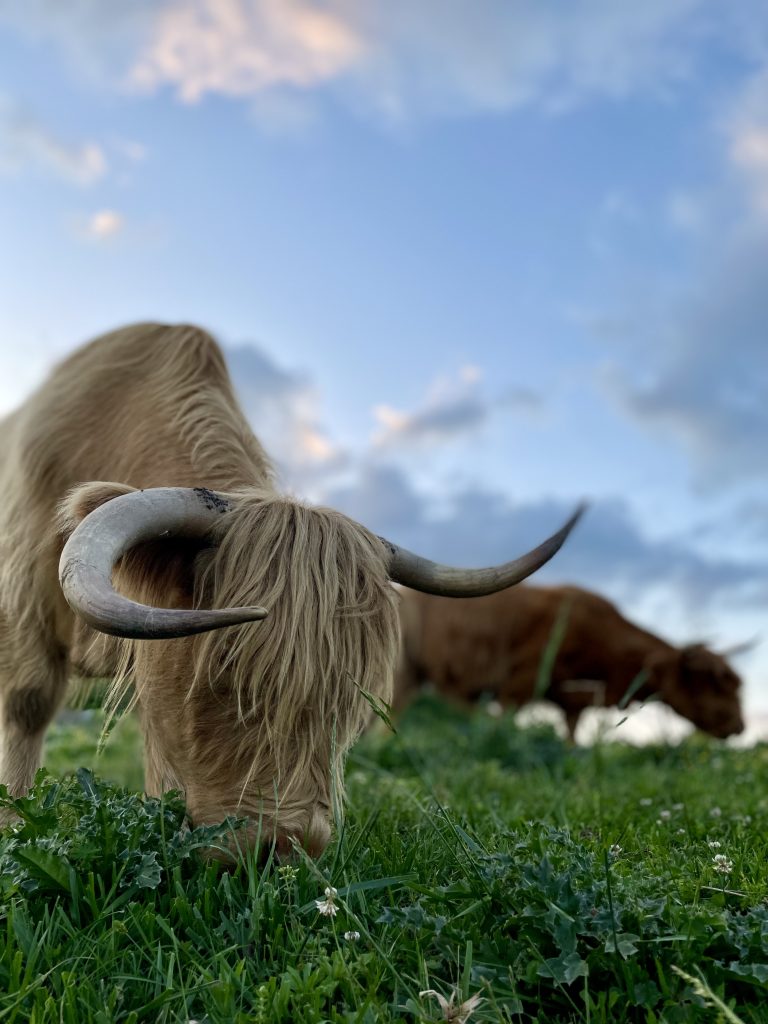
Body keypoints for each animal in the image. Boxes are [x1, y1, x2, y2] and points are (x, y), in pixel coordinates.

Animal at [0, 322, 583, 857]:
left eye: (351, 698)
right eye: (222, 674)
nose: (284, 844)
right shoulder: (23, 615)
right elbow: (28, 705)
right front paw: (14, 829)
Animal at [395, 584, 745, 741]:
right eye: (716, 683)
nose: (740, 726)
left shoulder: (574, 699)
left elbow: (572, 736)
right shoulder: (520, 682)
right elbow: (504, 724)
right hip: (406, 675)